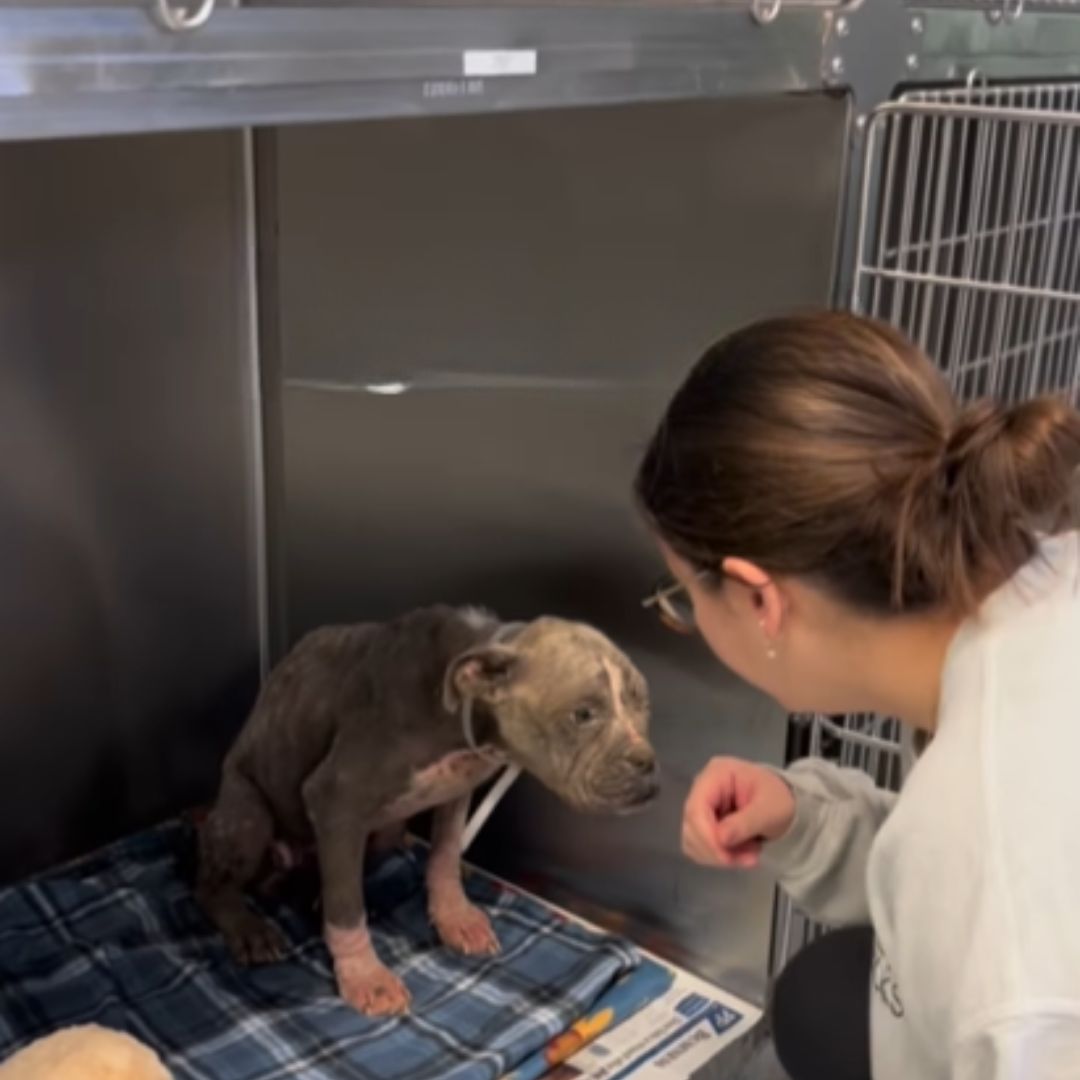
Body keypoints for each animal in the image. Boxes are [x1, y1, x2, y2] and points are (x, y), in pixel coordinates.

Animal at [198, 604, 660, 1015]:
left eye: (643, 703)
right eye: (583, 714)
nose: (647, 764)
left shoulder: (456, 789)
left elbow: (445, 855)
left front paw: (455, 917)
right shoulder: (335, 799)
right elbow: (347, 910)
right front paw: (365, 976)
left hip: (383, 833)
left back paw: (318, 896)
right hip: (248, 818)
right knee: (214, 881)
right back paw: (249, 929)